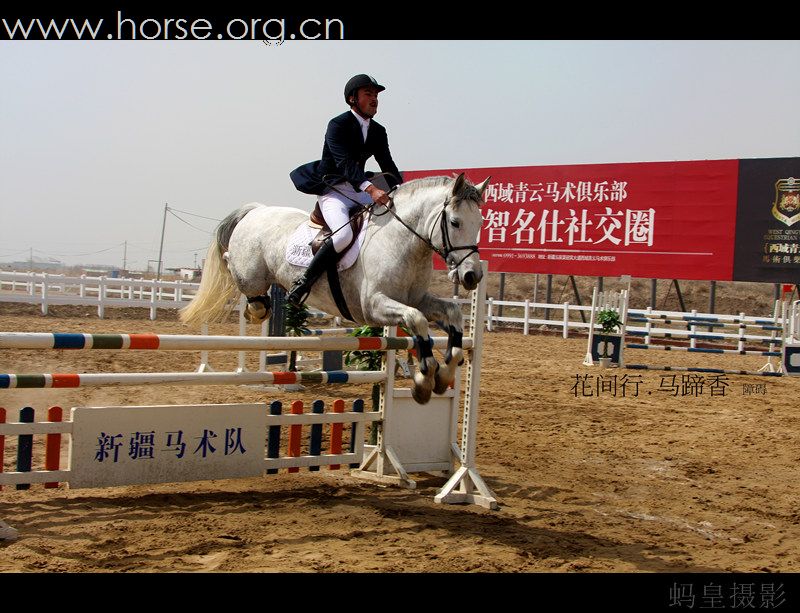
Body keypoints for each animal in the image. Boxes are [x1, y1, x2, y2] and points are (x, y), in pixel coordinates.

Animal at [180, 172, 488, 402]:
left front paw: (445, 374)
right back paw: (255, 306)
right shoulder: (374, 305)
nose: (472, 276)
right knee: (237, 272)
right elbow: (418, 320)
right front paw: (424, 380)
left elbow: (452, 315)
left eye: (480, 223)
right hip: (251, 273)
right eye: (455, 222)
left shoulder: (417, 298)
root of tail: (257, 210)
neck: (403, 242)